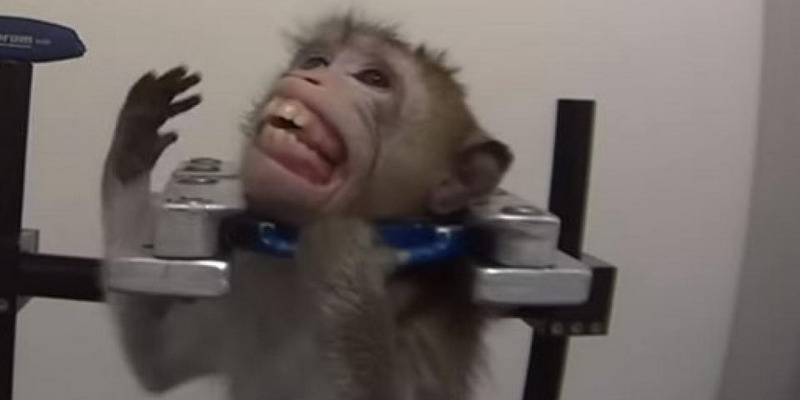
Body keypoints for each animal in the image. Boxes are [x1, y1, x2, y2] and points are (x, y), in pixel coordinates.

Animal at [102, 13, 513, 400]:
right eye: (317, 61)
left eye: (374, 78)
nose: (310, 76)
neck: (294, 283)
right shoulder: (241, 294)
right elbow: (155, 364)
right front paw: (133, 142)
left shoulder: (422, 335)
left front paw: (345, 257)